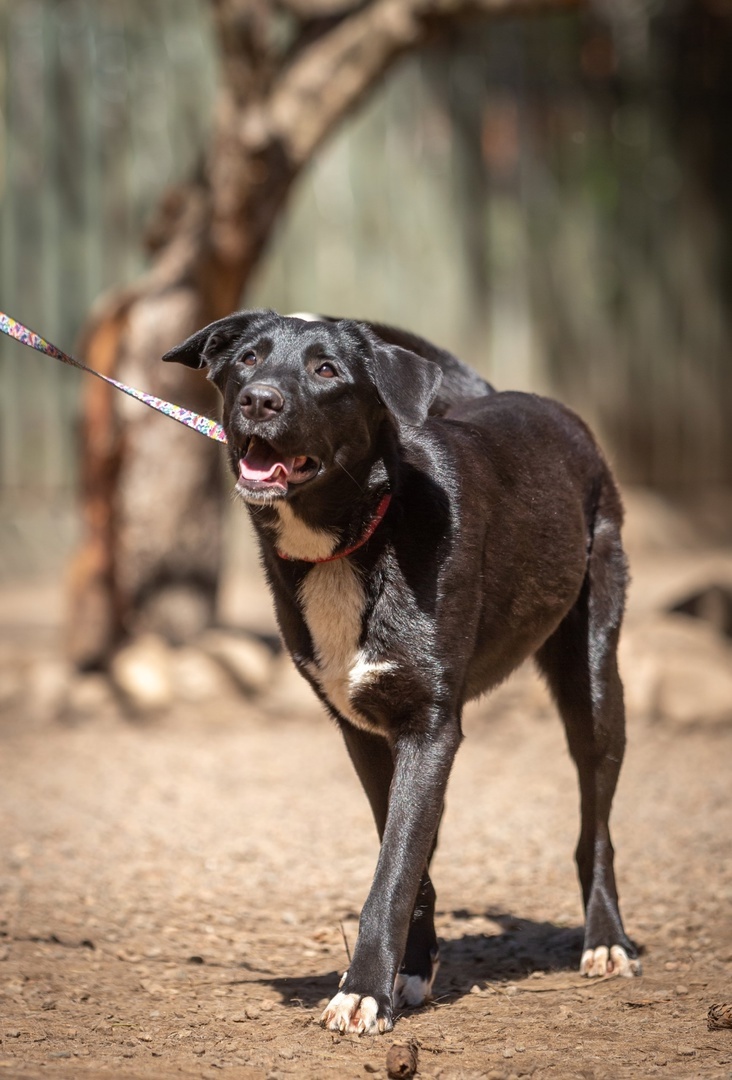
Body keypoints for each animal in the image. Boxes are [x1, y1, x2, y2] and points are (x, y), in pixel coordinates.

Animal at [165, 311, 643, 1028]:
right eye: (247, 359)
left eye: (326, 369)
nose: (258, 401)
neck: (351, 542)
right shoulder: (365, 732)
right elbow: (407, 858)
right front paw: (405, 972)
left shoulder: (430, 727)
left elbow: (392, 869)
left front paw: (363, 988)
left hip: (593, 685)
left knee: (598, 827)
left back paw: (607, 939)